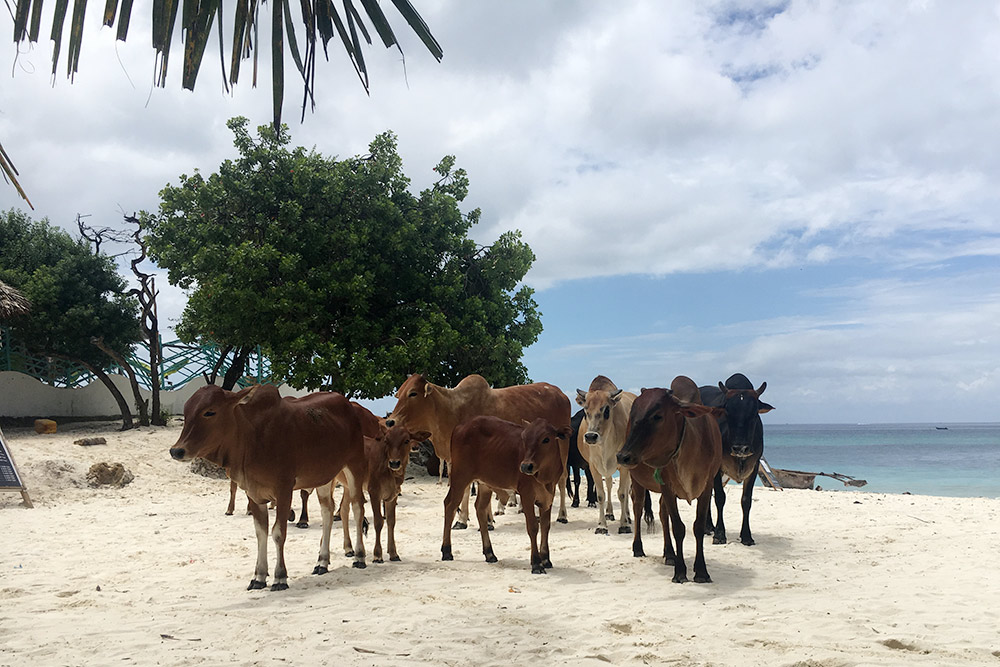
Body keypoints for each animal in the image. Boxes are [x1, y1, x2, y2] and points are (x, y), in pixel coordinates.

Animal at [170, 384, 370, 592]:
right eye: (186, 412)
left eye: (210, 412)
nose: (177, 450)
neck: (252, 437)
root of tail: (350, 406)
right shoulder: (254, 494)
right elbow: (261, 533)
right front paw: (258, 576)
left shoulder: (284, 491)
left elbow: (278, 533)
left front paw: (280, 577)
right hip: (324, 476)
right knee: (328, 512)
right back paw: (322, 562)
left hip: (354, 466)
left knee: (357, 508)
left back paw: (359, 556)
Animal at [382, 374, 572, 528]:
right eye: (398, 394)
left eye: (413, 393)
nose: (390, 421)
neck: (452, 410)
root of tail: (561, 394)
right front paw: (471, 519)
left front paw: (479, 520)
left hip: (562, 450)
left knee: (562, 479)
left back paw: (562, 515)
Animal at [440, 418, 572, 576]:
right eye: (524, 438)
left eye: (546, 439)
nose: (525, 466)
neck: (545, 476)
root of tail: (460, 426)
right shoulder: (527, 494)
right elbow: (533, 527)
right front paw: (536, 563)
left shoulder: (548, 497)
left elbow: (546, 526)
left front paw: (546, 559)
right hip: (460, 477)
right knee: (450, 505)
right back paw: (446, 551)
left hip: (485, 483)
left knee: (480, 508)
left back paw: (489, 553)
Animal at [612, 380, 724, 584]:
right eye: (632, 415)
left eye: (658, 416)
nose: (622, 456)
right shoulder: (667, 486)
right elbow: (678, 527)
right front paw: (680, 572)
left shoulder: (707, 486)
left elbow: (698, 527)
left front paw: (701, 571)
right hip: (638, 481)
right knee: (638, 508)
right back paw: (638, 548)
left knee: (663, 514)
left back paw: (670, 554)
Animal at [700, 374, 776, 544]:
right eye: (728, 412)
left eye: (754, 413)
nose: (740, 448)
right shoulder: (717, 467)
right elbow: (720, 498)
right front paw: (720, 534)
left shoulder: (754, 467)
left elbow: (746, 500)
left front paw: (746, 536)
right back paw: (708, 527)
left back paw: (708, 526)